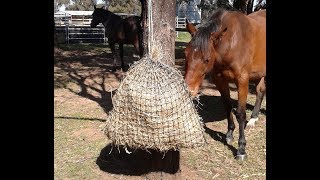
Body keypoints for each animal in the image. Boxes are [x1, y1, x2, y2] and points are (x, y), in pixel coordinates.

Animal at [184, 9, 266, 160]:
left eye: (206, 59)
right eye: (185, 54)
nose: (189, 90)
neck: (231, 42)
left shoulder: (242, 80)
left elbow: (240, 113)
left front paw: (241, 149)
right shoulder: (219, 80)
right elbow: (227, 106)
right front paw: (229, 134)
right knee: (260, 91)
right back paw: (253, 119)